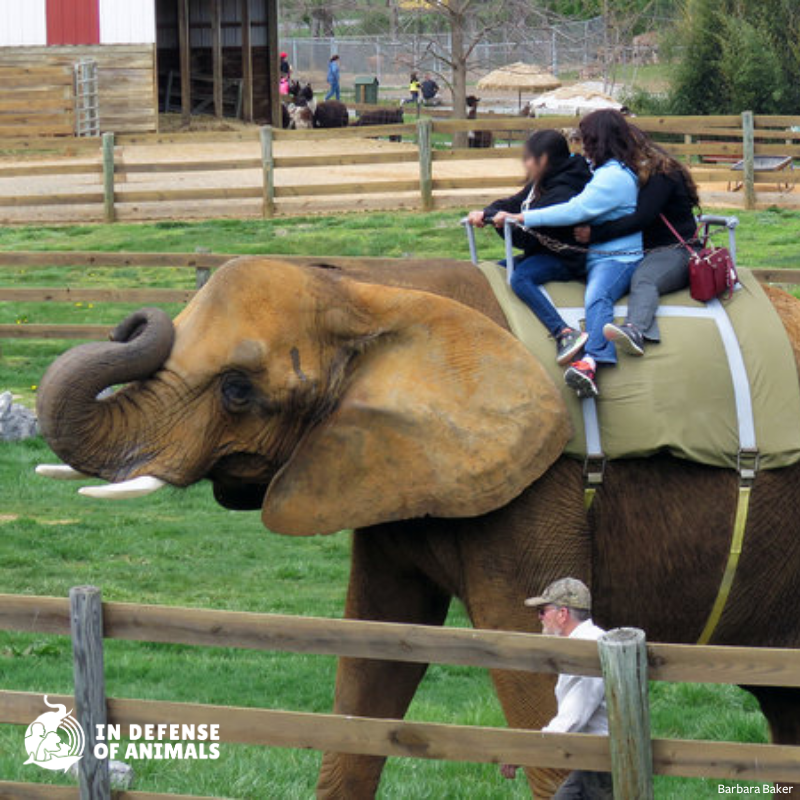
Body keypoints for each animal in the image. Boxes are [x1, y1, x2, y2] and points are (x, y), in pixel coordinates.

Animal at [37, 258, 800, 800]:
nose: (134, 321)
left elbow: (532, 671)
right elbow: (372, 657)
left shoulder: (535, 482)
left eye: (238, 390)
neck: (375, 288)